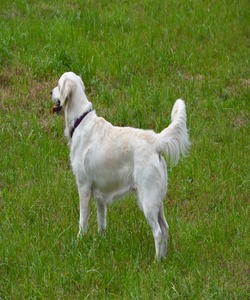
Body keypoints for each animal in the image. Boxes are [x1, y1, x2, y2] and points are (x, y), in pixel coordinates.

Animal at [51, 71, 189, 258]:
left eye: (58, 86)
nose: (50, 92)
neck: (80, 120)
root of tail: (155, 140)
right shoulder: (100, 195)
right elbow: (101, 223)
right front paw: (100, 242)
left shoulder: (84, 187)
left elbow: (83, 220)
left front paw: (79, 241)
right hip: (157, 199)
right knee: (166, 228)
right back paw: (163, 258)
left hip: (147, 200)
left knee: (158, 232)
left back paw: (156, 261)